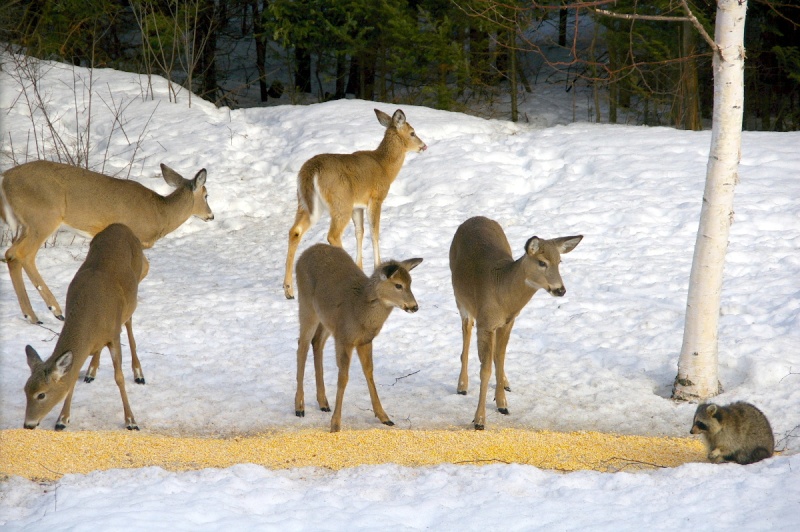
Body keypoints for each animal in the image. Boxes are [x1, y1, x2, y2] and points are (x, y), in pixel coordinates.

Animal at [0, 158, 214, 324]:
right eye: (206, 195)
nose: (211, 215)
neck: (160, 213)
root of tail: (5, 179)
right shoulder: (131, 236)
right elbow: (142, 268)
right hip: (44, 217)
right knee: (23, 254)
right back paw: (55, 311)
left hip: (28, 224)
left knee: (10, 254)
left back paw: (31, 316)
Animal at [23, 222, 150, 430]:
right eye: (25, 390)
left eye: (41, 394)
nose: (28, 424)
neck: (90, 315)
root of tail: (120, 225)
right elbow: (72, 377)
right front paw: (62, 420)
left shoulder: (114, 335)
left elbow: (119, 377)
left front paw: (131, 421)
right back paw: (91, 371)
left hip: (132, 297)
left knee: (129, 325)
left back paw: (138, 373)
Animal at [284, 107, 428, 300]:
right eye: (413, 132)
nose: (423, 146)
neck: (384, 166)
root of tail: (312, 169)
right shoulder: (376, 198)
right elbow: (374, 232)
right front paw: (377, 266)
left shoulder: (357, 206)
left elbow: (360, 232)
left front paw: (361, 267)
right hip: (340, 202)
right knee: (332, 235)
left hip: (306, 202)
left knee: (295, 231)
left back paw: (289, 290)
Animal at [292, 242, 418, 432]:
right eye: (398, 285)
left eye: (410, 282)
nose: (414, 306)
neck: (360, 311)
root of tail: (306, 252)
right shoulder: (344, 339)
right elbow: (343, 378)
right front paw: (335, 424)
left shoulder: (364, 340)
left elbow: (369, 372)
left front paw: (384, 417)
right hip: (306, 304)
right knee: (302, 346)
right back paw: (299, 406)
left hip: (327, 320)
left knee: (317, 342)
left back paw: (323, 402)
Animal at [450, 215, 580, 428]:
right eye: (542, 262)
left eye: (559, 261)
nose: (560, 290)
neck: (502, 293)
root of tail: (475, 218)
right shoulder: (485, 324)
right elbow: (485, 369)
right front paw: (479, 420)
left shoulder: (508, 322)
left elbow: (500, 359)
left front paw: (502, 404)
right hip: (460, 298)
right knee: (466, 330)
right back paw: (462, 385)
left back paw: (505, 382)